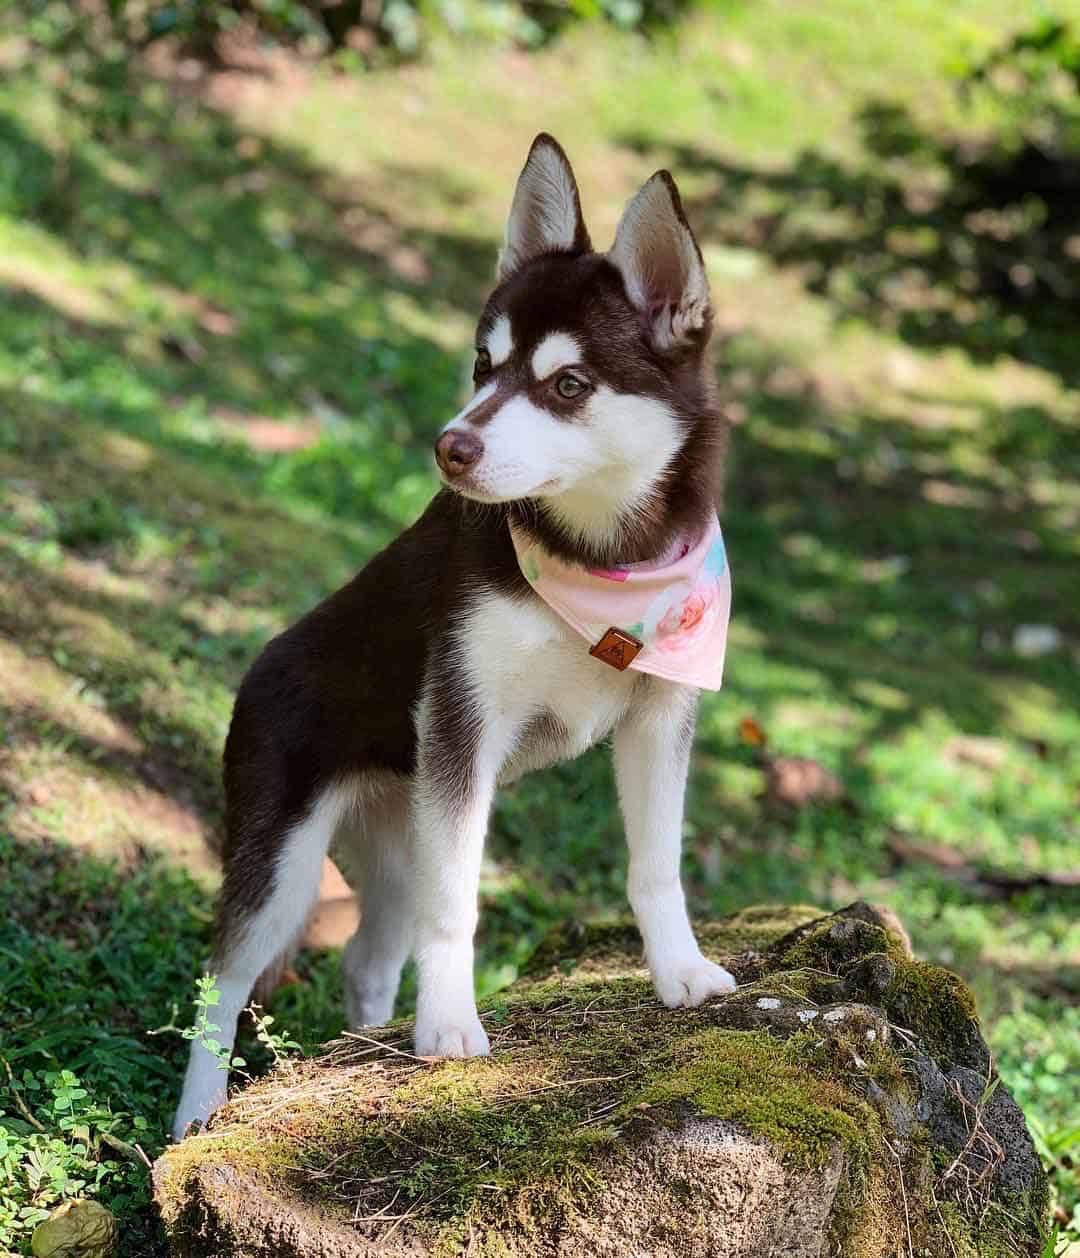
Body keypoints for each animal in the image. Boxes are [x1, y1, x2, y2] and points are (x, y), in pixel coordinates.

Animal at [173, 135, 739, 1142]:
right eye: (483, 365)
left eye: (567, 385)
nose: (451, 447)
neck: (600, 560)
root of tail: (262, 660)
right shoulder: (463, 726)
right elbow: (459, 909)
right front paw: (447, 1026)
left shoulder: (660, 716)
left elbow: (656, 865)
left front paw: (678, 970)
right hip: (286, 860)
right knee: (225, 980)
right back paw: (194, 1120)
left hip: (399, 840)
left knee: (366, 957)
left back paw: (367, 1039)